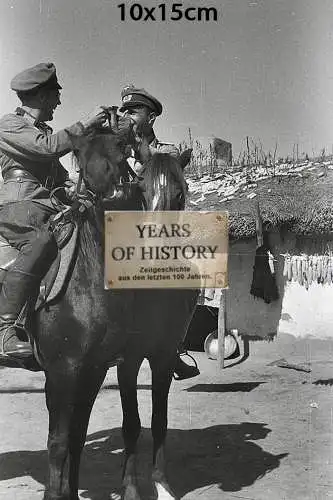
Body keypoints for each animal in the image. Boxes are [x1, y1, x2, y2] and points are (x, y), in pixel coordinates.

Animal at [29, 118, 197, 500]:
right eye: (142, 190)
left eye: (179, 194)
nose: (106, 195)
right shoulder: (95, 365)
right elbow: (70, 438)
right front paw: (131, 489)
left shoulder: (152, 357)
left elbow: (154, 421)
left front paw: (161, 485)